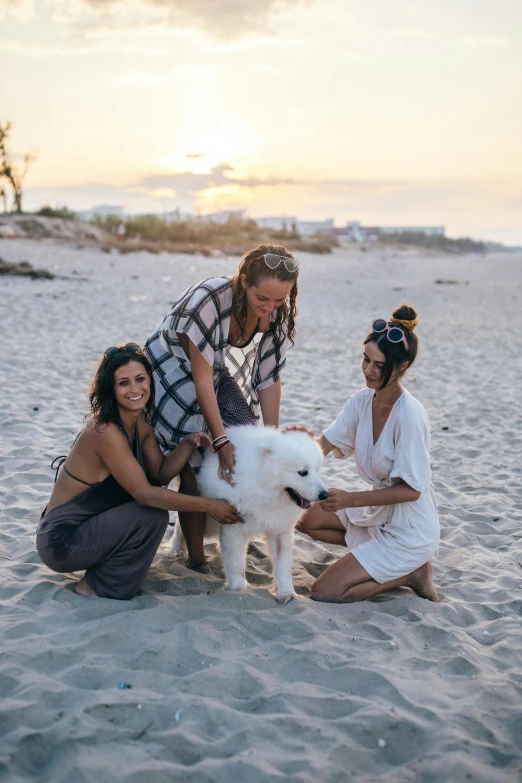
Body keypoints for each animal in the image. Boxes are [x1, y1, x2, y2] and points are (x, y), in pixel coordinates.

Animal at [171, 426, 324, 604]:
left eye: (317, 470)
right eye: (302, 472)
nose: (325, 494)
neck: (264, 487)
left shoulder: (280, 528)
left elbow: (283, 562)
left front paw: (286, 593)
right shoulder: (233, 525)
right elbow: (237, 561)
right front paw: (239, 587)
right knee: (182, 524)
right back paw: (177, 548)